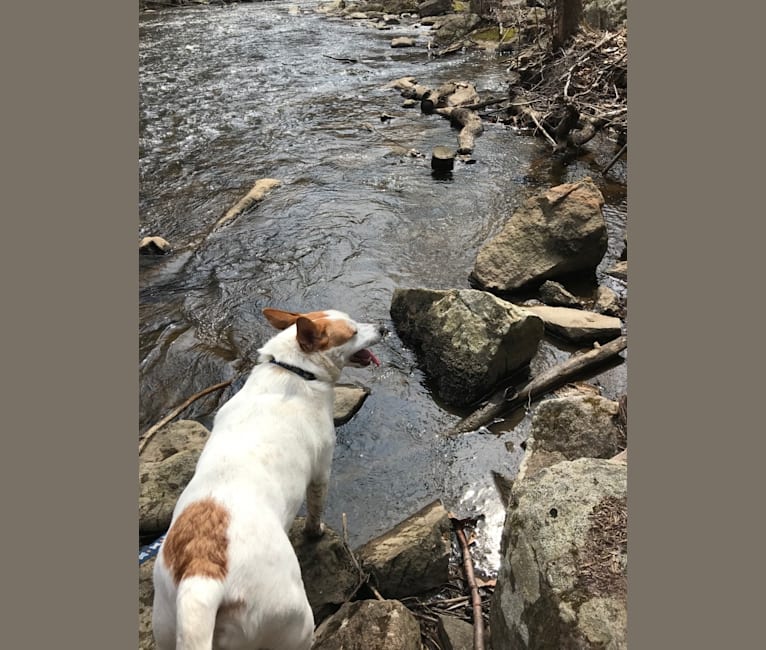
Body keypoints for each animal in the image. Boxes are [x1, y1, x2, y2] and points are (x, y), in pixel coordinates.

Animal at [154, 308, 388, 648]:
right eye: (353, 331)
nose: (384, 328)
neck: (294, 369)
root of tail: (203, 573)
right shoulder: (321, 469)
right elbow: (316, 508)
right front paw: (315, 532)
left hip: (166, 623)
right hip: (292, 619)